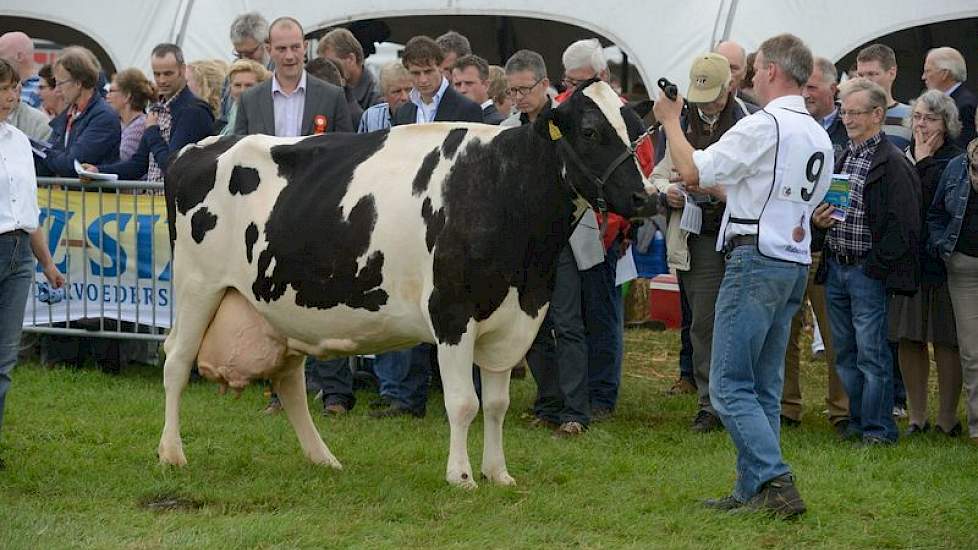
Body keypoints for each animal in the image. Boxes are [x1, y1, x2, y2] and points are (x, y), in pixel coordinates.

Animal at [158, 81, 648, 488]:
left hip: (279, 308)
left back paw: (323, 458)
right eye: (590, 132)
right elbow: (463, 402)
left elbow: (496, 405)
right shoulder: (452, 313)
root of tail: (198, 147)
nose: (645, 198)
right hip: (197, 287)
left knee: (289, 383)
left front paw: (498, 473)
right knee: (176, 361)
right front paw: (462, 477)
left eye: (639, 132)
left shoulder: (514, 317)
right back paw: (172, 453)